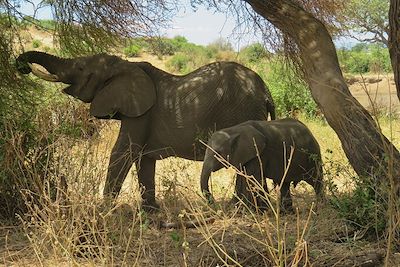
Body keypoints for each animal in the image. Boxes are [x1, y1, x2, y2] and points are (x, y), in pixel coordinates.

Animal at [17, 51, 276, 211]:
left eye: (81, 68)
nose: (21, 66)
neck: (125, 65)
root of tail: (266, 91)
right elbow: (144, 160)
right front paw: (151, 211)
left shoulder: (140, 114)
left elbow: (123, 152)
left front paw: (103, 210)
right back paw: (255, 207)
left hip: (243, 112)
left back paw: (244, 208)